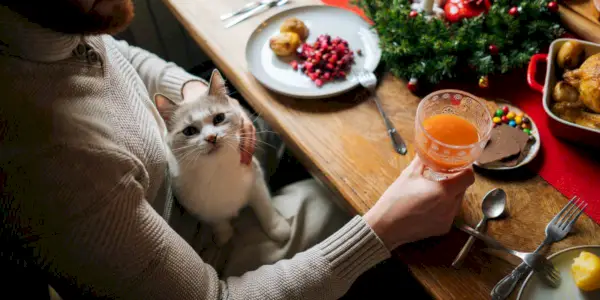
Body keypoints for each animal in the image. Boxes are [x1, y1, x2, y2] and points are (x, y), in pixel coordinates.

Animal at [156, 70, 292, 246]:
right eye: (189, 131)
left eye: (219, 118)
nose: (211, 137)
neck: (216, 170)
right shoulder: (197, 206)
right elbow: (216, 219)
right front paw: (223, 234)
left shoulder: (256, 179)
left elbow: (265, 207)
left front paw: (276, 227)